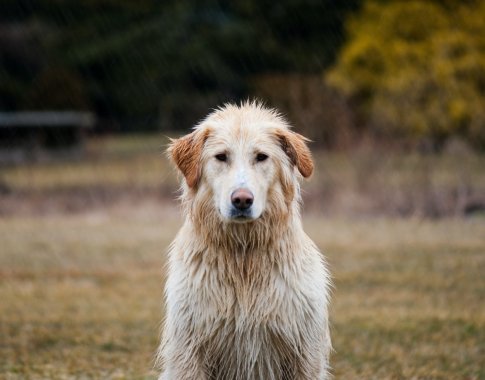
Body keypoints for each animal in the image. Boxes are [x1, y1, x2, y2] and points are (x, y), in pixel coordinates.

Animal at [157, 101, 330, 380]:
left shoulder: (305, 353)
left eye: (261, 157)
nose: (241, 200)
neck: (243, 255)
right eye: (221, 156)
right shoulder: (189, 351)